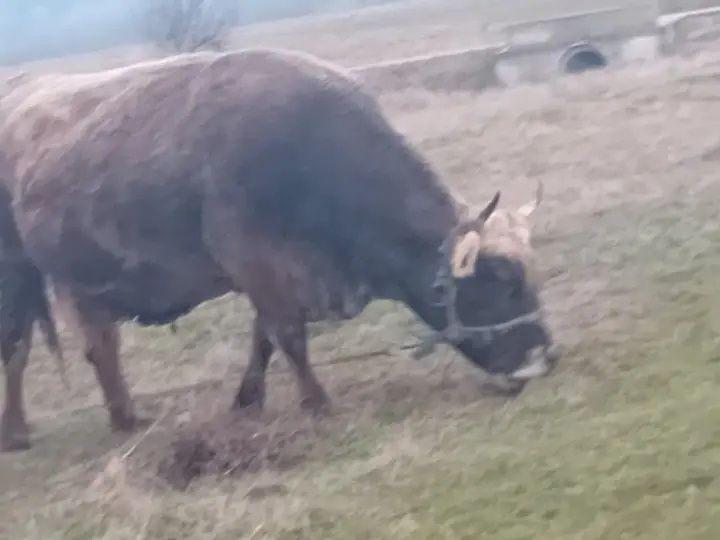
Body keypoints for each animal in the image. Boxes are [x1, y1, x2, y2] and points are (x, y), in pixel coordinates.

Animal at [0, 49, 558, 451]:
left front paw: (249, 399)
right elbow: (288, 335)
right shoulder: (257, 262)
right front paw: (316, 402)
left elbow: (263, 338)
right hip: (15, 274)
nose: (547, 357)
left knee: (101, 346)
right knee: (17, 348)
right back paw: (18, 432)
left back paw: (124, 414)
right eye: (502, 284)